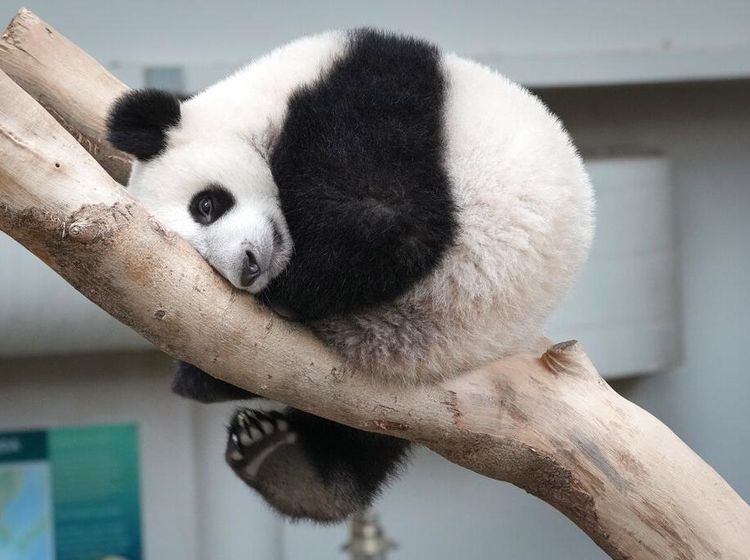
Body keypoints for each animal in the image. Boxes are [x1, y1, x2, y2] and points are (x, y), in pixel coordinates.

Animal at [107, 29, 594, 522]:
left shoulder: (370, 99)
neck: (269, 97)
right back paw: (288, 466)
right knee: (363, 434)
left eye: (205, 206)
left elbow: (392, 220)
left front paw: (291, 285)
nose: (248, 268)